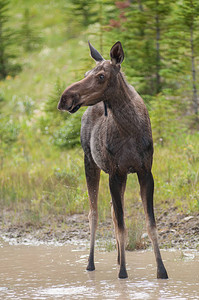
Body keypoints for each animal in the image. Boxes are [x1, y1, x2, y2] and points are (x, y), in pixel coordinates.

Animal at [57, 41, 168, 280]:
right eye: (85, 74)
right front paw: (123, 274)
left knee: (111, 211)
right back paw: (91, 264)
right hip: (90, 162)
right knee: (94, 213)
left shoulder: (145, 172)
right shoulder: (115, 173)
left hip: (118, 174)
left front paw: (161, 272)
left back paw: (118, 259)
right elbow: (121, 225)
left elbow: (150, 224)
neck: (130, 130)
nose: (64, 98)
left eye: (101, 76)